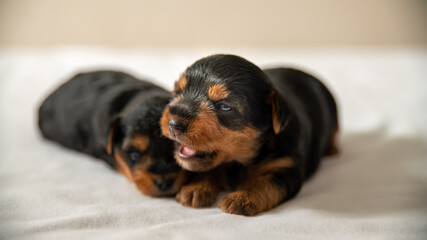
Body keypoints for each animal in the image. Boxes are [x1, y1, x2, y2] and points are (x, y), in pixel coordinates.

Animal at [161, 54, 342, 216]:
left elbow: (264, 182)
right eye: (177, 93)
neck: (238, 162)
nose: (174, 125)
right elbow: (207, 170)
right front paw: (196, 188)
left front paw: (242, 198)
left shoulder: (287, 167)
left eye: (224, 106)